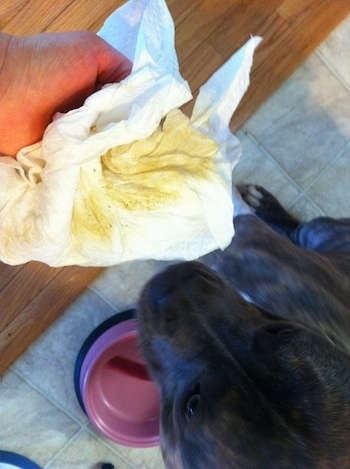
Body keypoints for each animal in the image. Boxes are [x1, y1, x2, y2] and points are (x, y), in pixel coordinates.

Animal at [136, 185, 350, 466]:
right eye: (280, 331)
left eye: (191, 406)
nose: (177, 281)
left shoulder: (252, 242)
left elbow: (240, 220)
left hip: (319, 231)